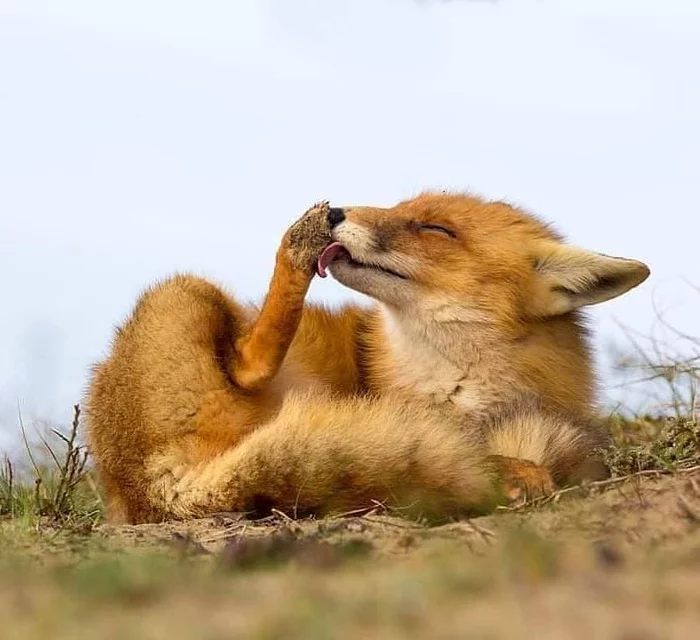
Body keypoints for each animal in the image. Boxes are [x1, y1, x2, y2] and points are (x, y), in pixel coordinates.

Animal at [83, 192, 652, 524]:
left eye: (436, 229)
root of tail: (141, 483)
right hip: (184, 292)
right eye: (400, 206)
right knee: (249, 361)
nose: (337, 213)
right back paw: (296, 244)